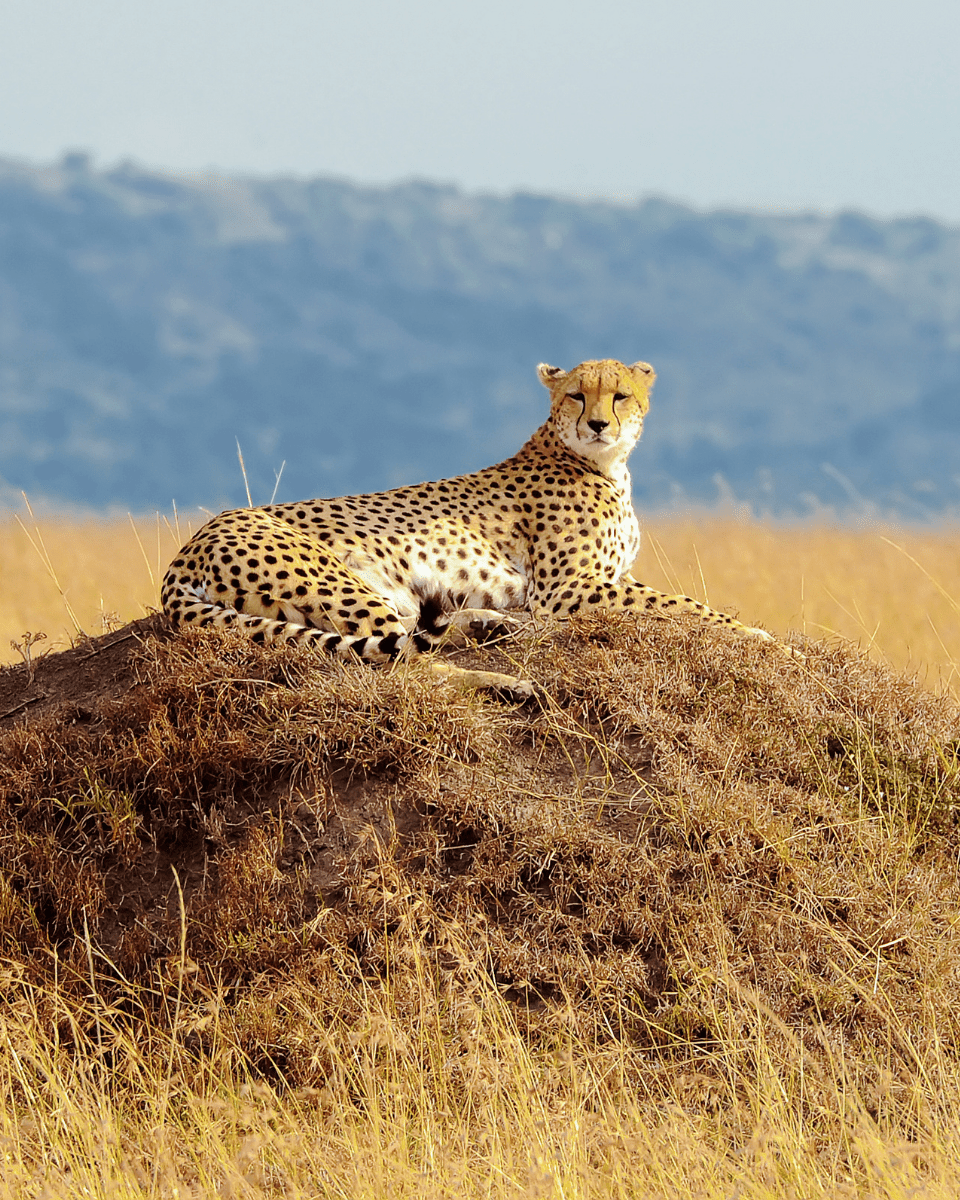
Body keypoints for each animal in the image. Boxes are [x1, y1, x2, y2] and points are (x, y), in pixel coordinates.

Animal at [163, 355, 777, 696]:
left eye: (620, 395)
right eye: (577, 395)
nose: (599, 424)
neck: (604, 463)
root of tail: (191, 544)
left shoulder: (589, 584)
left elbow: (678, 603)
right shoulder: (566, 591)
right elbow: (685, 605)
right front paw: (760, 637)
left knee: (416, 635)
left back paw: (493, 627)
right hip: (338, 584)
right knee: (402, 663)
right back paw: (509, 682)